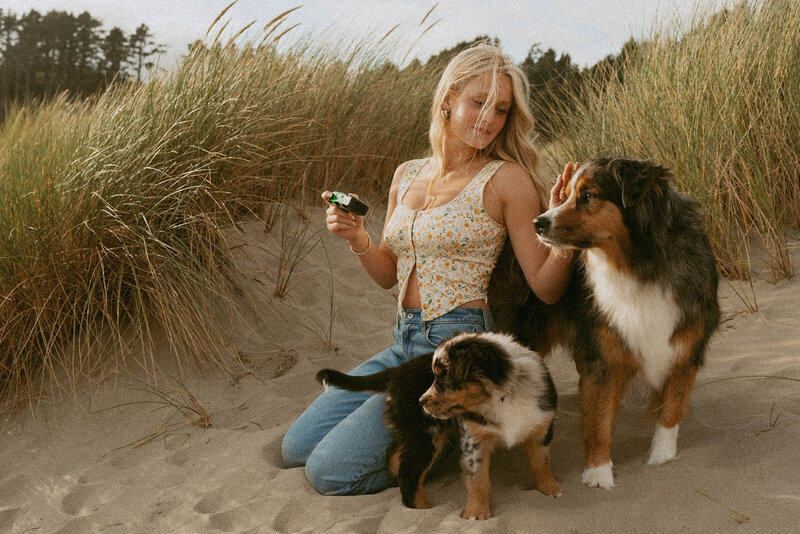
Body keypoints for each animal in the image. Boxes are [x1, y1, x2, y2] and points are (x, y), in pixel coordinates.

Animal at [316, 332, 560, 520]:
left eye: (443, 376)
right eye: (433, 376)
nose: (421, 401)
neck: (503, 398)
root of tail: (396, 372)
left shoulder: (541, 426)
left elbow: (541, 462)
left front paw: (548, 489)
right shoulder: (473, 440)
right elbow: (478, 479)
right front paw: (476, 514)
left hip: (414, 431)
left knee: (394, 454)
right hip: (427, 436)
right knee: (409, 471)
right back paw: (422, 510)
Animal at [488, 157, 720, 492]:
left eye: (589, 196)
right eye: (568, 195)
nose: (536, 224)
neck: (639, 265)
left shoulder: (686, 344)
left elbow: (671, 408)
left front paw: (661, 456)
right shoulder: (600, 354)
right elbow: (599, 419)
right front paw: (598, 473)